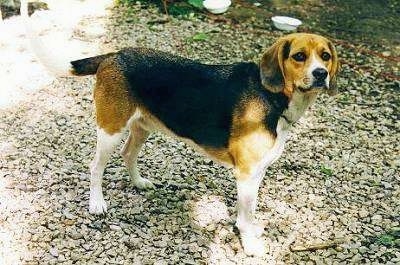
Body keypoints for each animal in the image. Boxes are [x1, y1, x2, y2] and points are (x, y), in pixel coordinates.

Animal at [22, 0, 338, 256]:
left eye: (325, 56)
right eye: (299, 56)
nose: (320, 74)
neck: (274, 97)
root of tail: (113, 54)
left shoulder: (256, 173)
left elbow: (248, 212)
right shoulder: (247, 173)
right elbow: (246, 216)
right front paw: (250, 244)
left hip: (142, 127)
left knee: (128, 154)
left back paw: (139, 183)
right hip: (110, 129)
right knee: (96, 166)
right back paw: (97, 203)